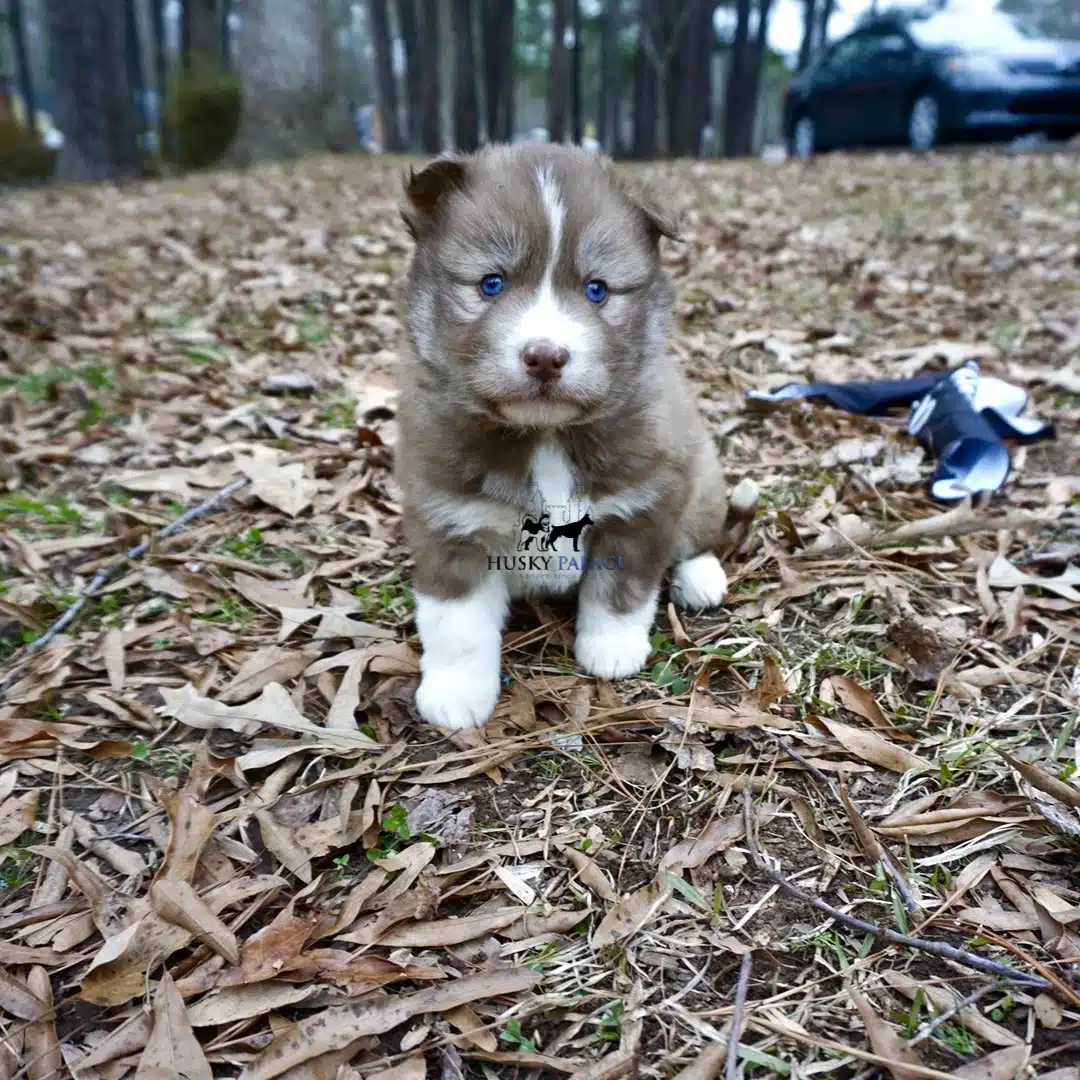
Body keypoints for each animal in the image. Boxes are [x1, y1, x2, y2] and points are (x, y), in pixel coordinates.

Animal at [397, 143, 760, 730]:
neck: (545, 435)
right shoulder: (447, 520)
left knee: (703, 533)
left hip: (702, 477)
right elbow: (457, 623)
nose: (546, 356)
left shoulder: (643, 502)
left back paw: (701, 575)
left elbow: (622, 588)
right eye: (491, 283)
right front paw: (455, 692)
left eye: (597, 290)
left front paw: (611, 649)